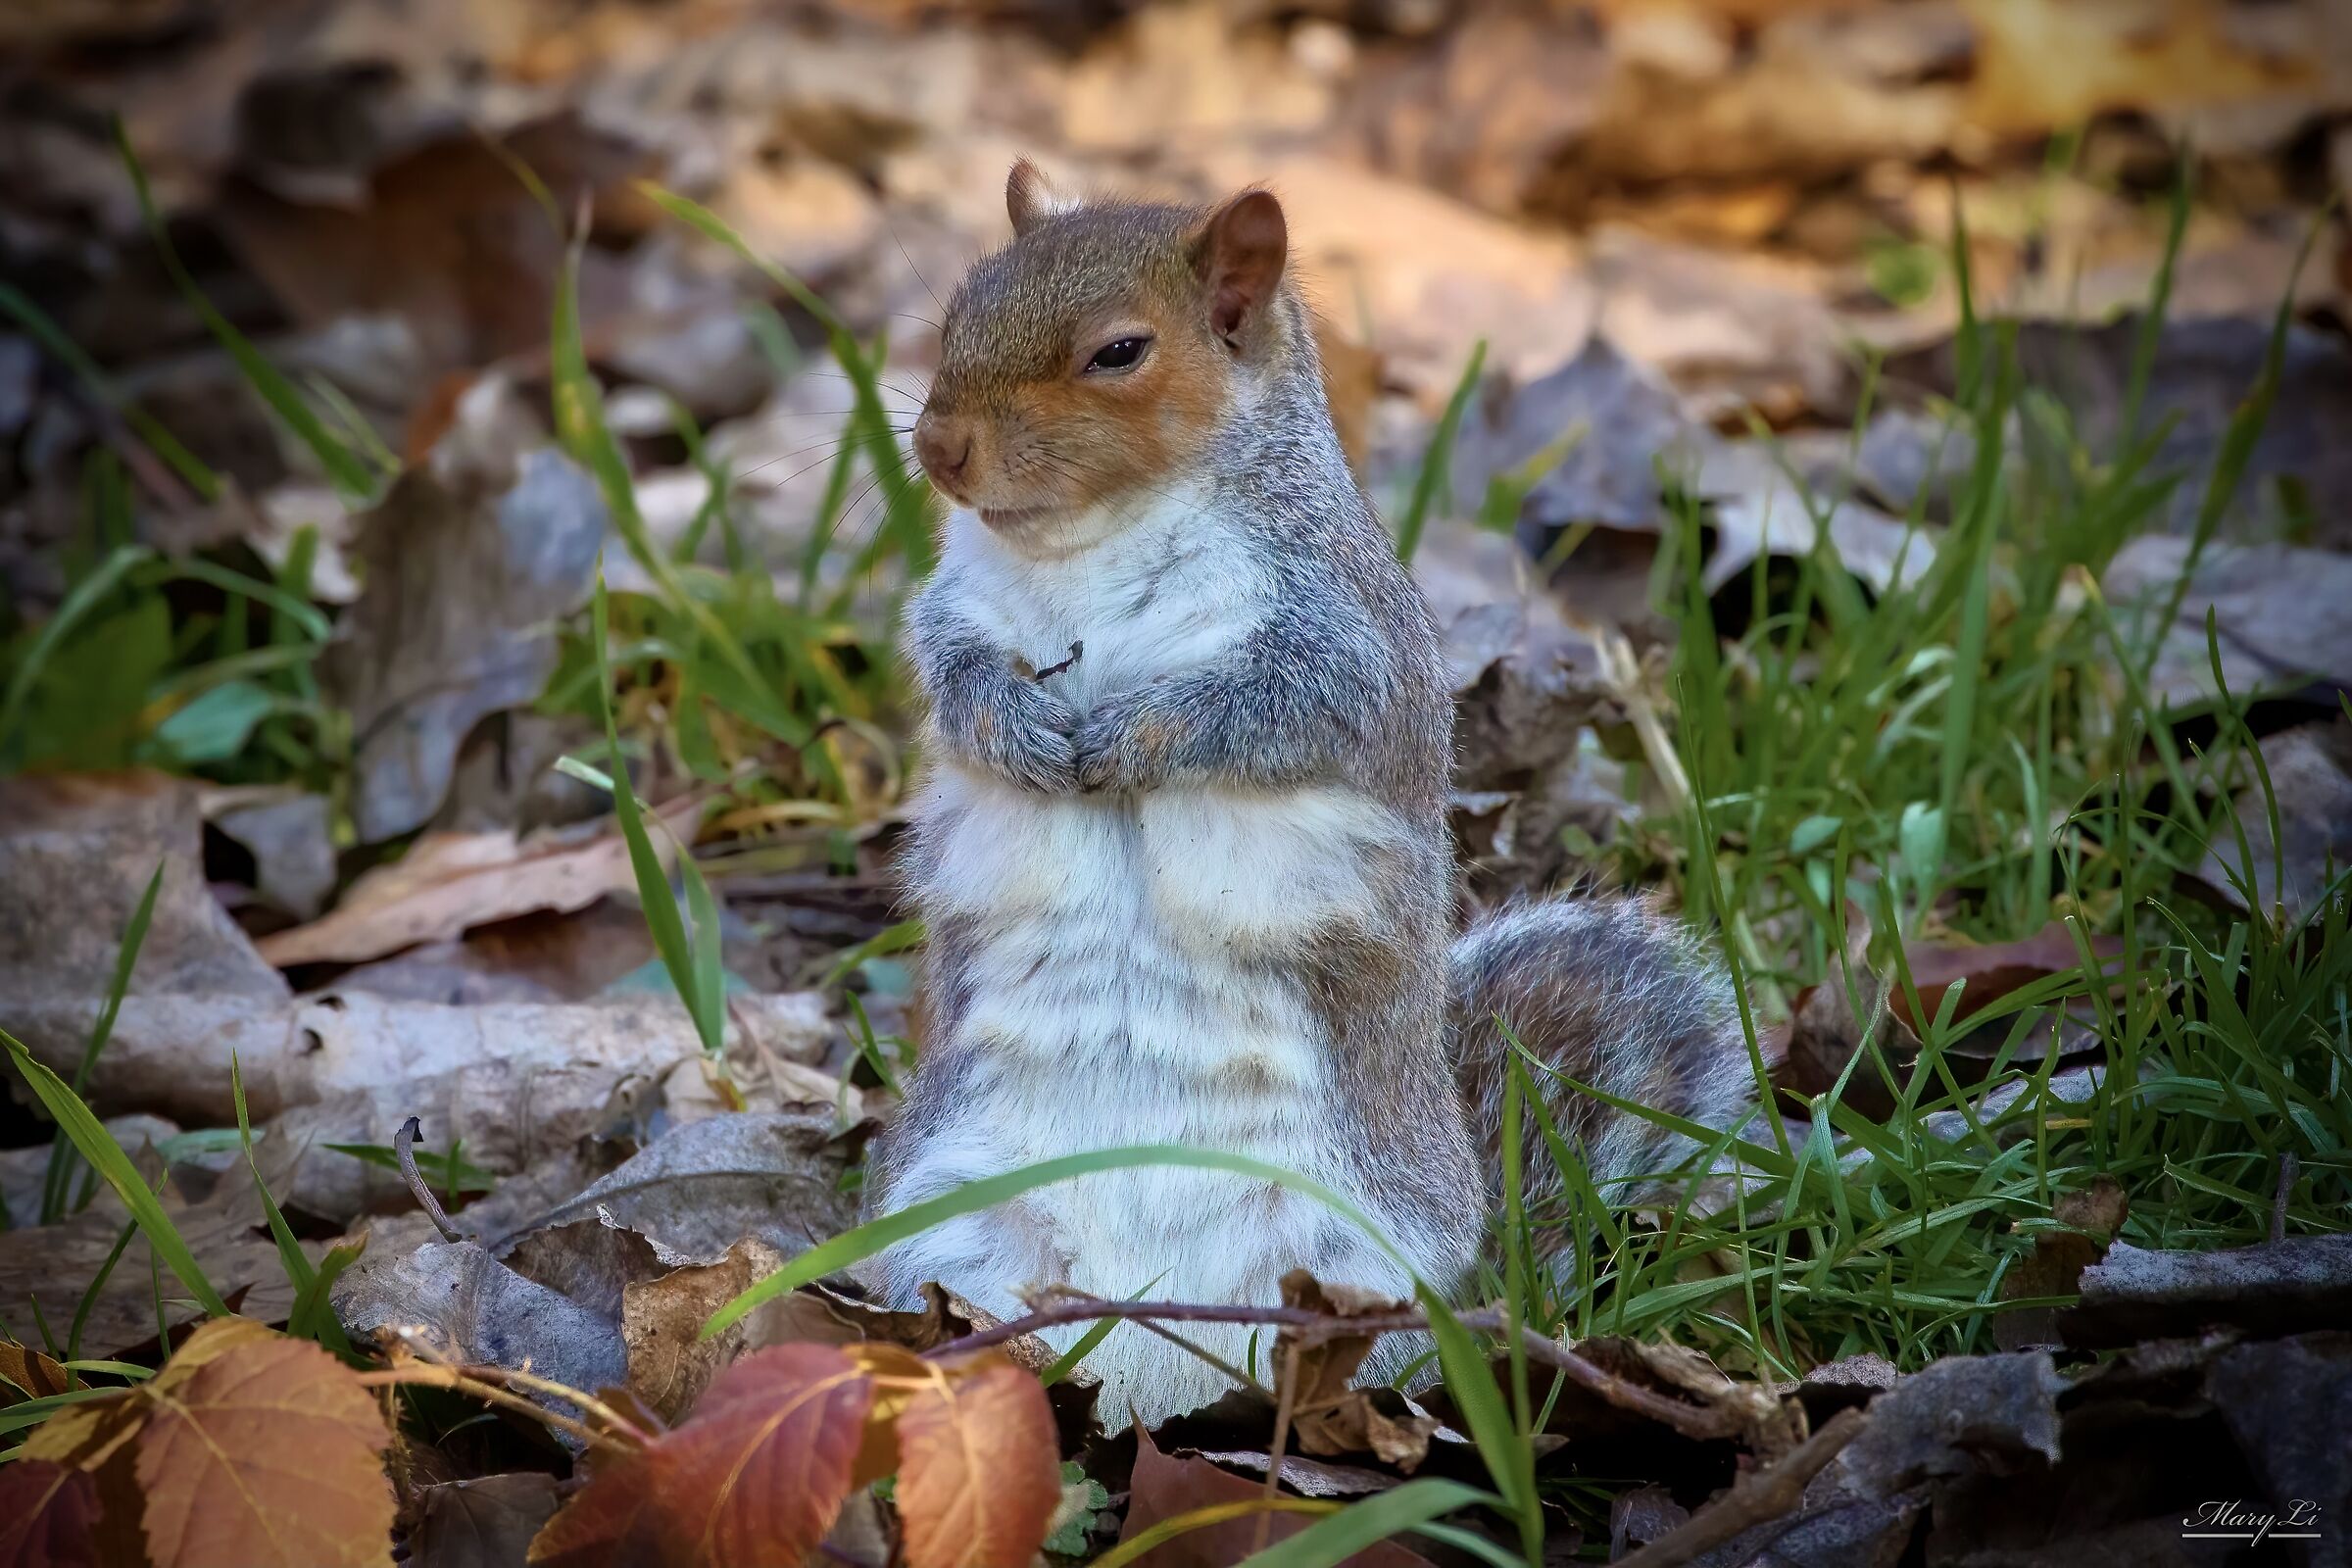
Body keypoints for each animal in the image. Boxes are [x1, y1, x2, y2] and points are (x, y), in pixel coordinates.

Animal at [859, 160, 1756, 1422]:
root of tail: (1146, 1382)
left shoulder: (1342, 637)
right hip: (954, 1230)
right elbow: (952, 673)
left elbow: (1273, 710)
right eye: (956, 314)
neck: (1090, 536)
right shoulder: (955, 606)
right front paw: (1019, 725)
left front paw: (1132, 738)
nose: (940, 448)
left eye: (1120, 351)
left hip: (1350, 1262)